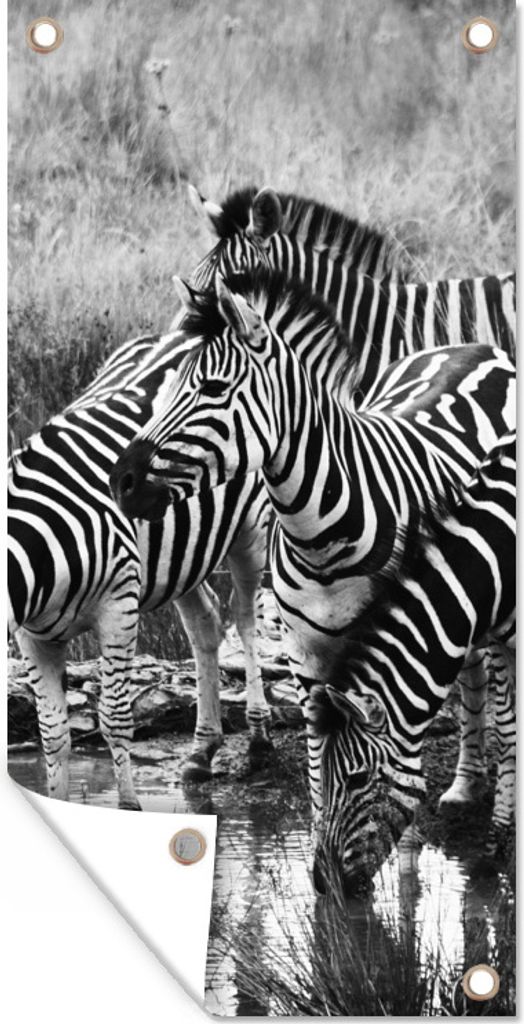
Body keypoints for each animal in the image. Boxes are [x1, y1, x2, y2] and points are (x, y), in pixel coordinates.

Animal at [109, 269, 515, 830]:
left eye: (212, 389)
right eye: (167, 387)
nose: (120, 482)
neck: (321, 535)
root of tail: (473, 344)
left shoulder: (391, 639)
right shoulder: (306, 658)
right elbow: (320, 767)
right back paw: (465, 785)